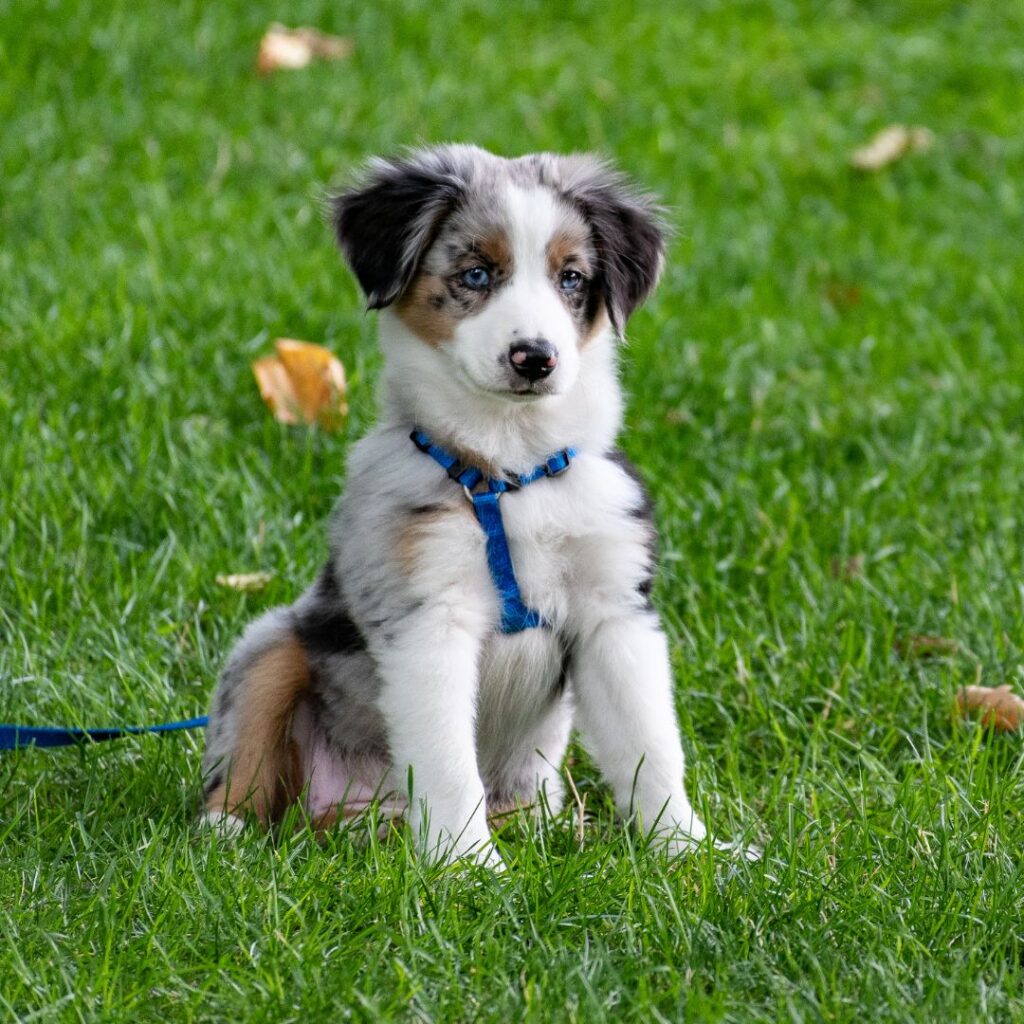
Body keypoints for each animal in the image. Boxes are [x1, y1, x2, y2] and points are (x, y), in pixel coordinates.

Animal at [201, 144, 745, 864]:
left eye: (572, 278)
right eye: (476, 274)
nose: (534, 358)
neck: (510, 471)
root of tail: (356, 815)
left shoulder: (615, 612)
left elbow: (651, 747)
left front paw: (690, 852)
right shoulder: (429, 618)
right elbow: (447, 760)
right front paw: (469, 867)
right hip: (272, 644)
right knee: (245, 757)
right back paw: (227, 833)